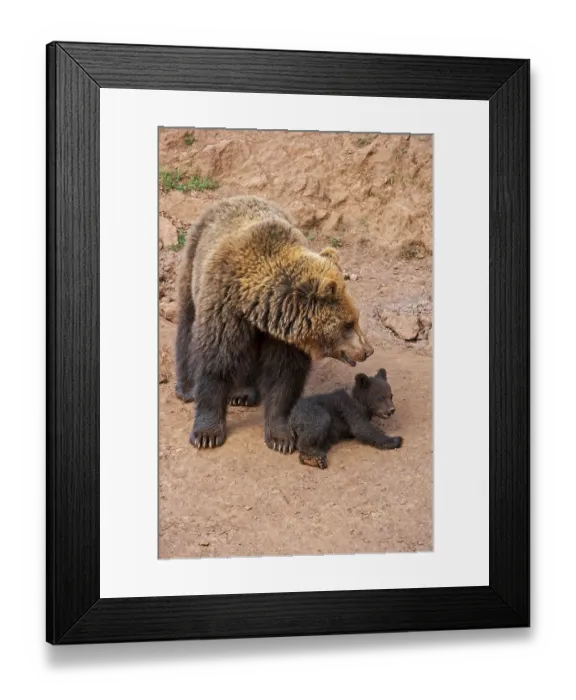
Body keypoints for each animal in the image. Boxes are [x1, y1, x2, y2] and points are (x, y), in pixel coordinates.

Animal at [175, 195, 373, 452]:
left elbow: (284, 378)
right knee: (187, 325)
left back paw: (243, 393)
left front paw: (282, 438)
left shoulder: (284, 337)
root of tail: (236, 196)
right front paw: (207, 434)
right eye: (348, 324)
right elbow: (216, 362)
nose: (367, 350)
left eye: (356, 318)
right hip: (193, 260)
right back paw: (186, 387)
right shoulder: (224, 306)